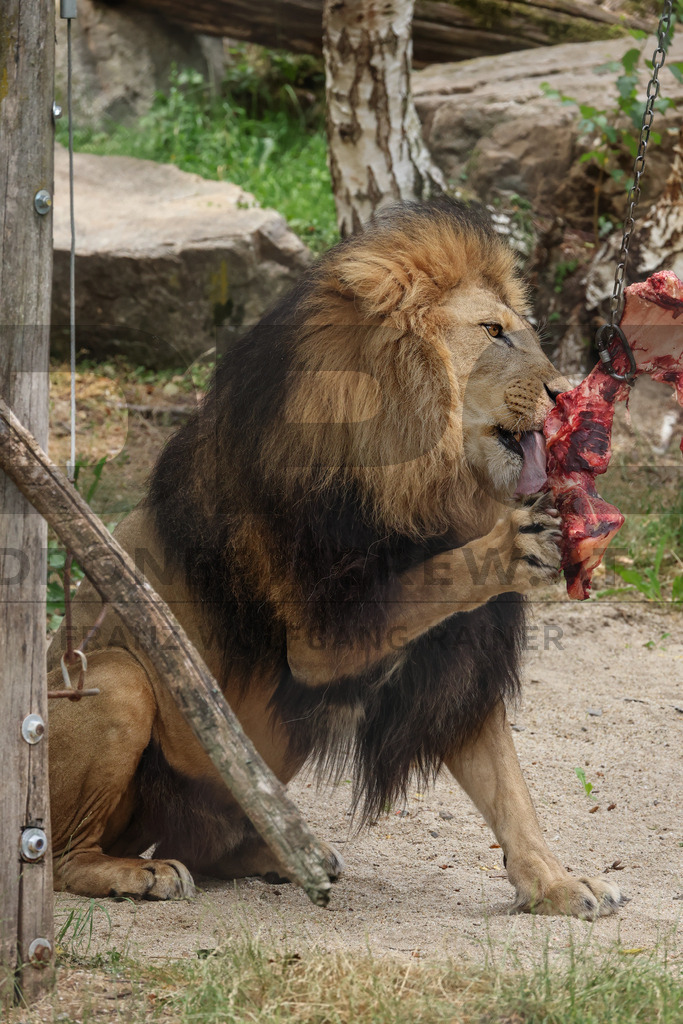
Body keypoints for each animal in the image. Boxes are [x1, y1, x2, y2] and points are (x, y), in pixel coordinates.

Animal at [47, 200, 624, 919]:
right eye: (493, 332)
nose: (567, 395)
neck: (424, 480)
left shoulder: (454, 649)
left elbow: (507, 788)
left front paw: (554, 884)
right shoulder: (320, 638)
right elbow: (435, 575)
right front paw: (522, 541)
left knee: (211, 843)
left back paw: (288, 856)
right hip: (118, 678)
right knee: (65, 855)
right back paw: (138, 873)